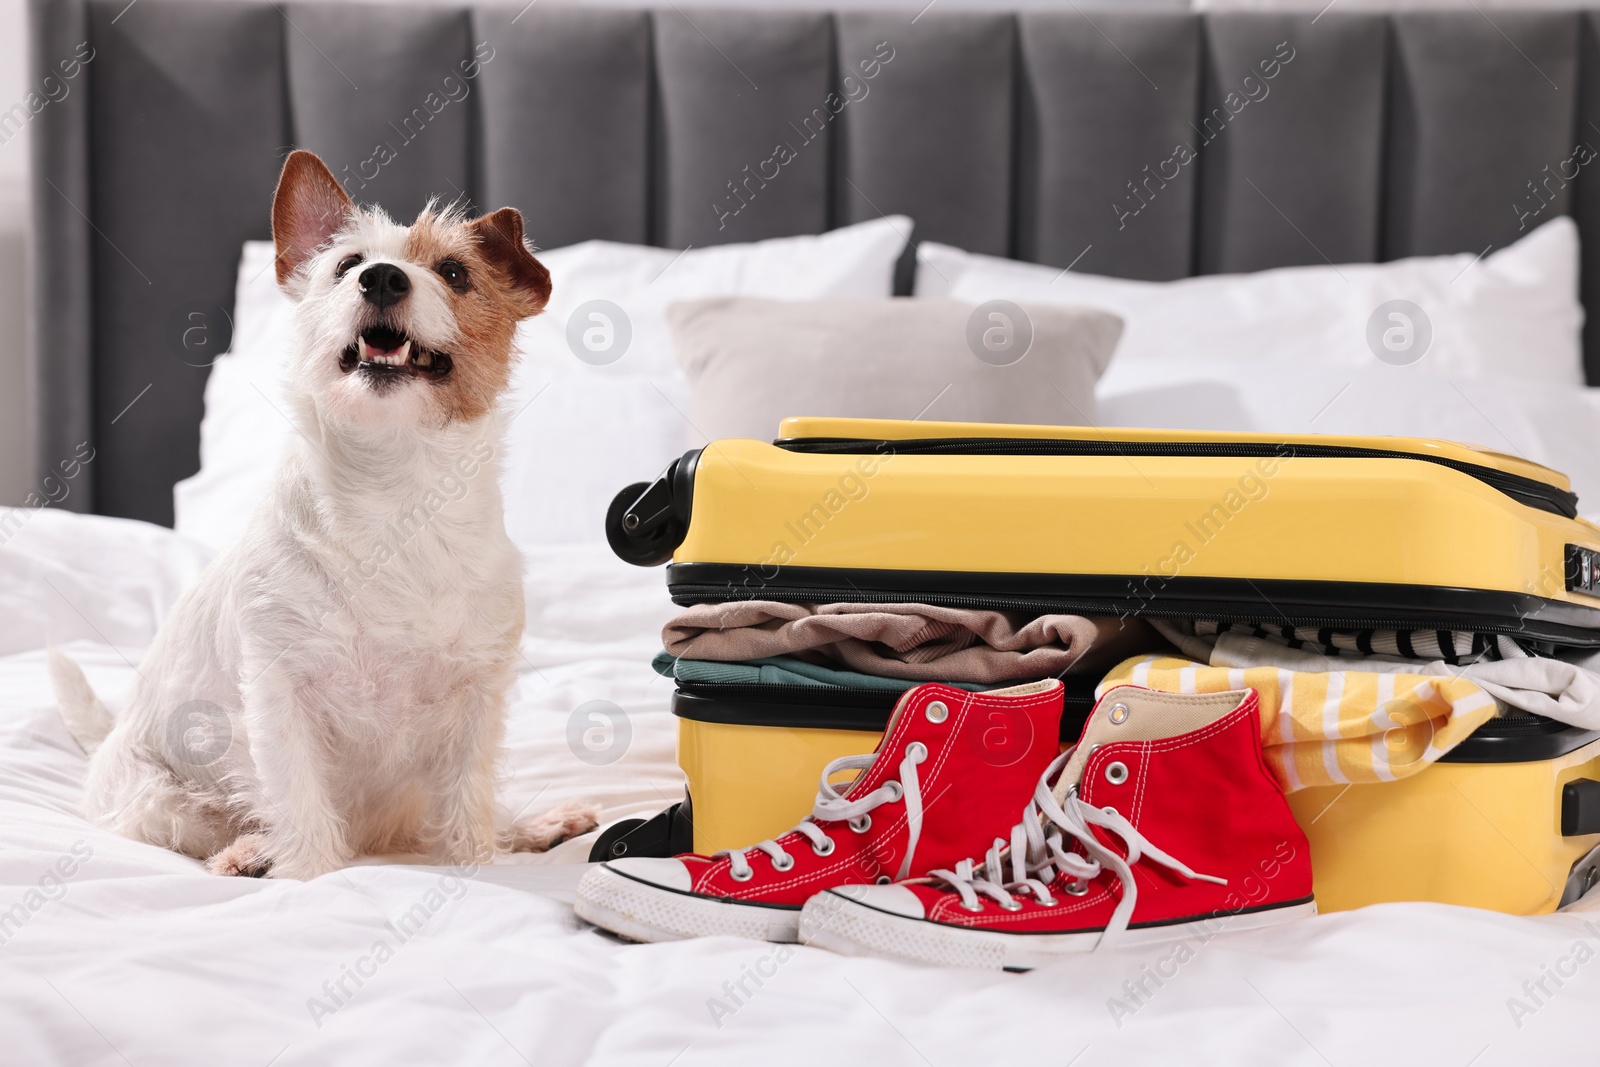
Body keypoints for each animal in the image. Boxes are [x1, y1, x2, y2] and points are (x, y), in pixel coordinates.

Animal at [53, 150, 601, 883]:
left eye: (455, 272)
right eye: (347, 265)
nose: (382, 277)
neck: (393, 495)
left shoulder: (476, 696)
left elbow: (467, 805)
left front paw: (477, 861)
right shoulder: (279, 692)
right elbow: (300, 802)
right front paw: (307, 875)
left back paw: (534, 828)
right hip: (158, 798)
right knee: (216, 820)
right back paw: (250, 853)